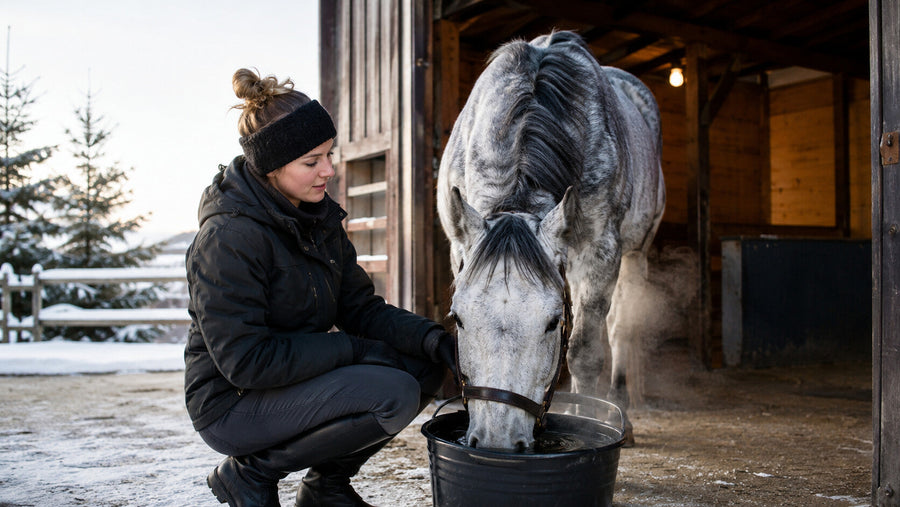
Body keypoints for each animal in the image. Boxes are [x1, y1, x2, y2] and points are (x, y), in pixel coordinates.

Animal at [436, 30, 665, 450]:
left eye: (551, 322)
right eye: (457, 318)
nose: (497, 441)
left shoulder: (600, 252)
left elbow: (585, 351)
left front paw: (588, 419)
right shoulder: (457, 247)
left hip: (636, 254)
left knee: (621, 328)